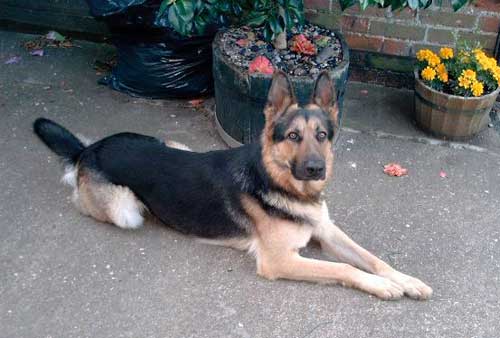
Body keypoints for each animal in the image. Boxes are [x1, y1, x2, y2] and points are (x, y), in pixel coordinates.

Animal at [35, 72, 432, 302]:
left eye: (321, 135)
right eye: (293, 136)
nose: (316, 169)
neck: (280, 184)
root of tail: (88, 149)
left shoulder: (327, 231)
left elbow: (372, 258)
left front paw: (407, 280)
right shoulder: (279, 260)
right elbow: (345, 270)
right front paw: (385, 287)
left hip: (174, 144)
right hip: (125, 210)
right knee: (82, 198)